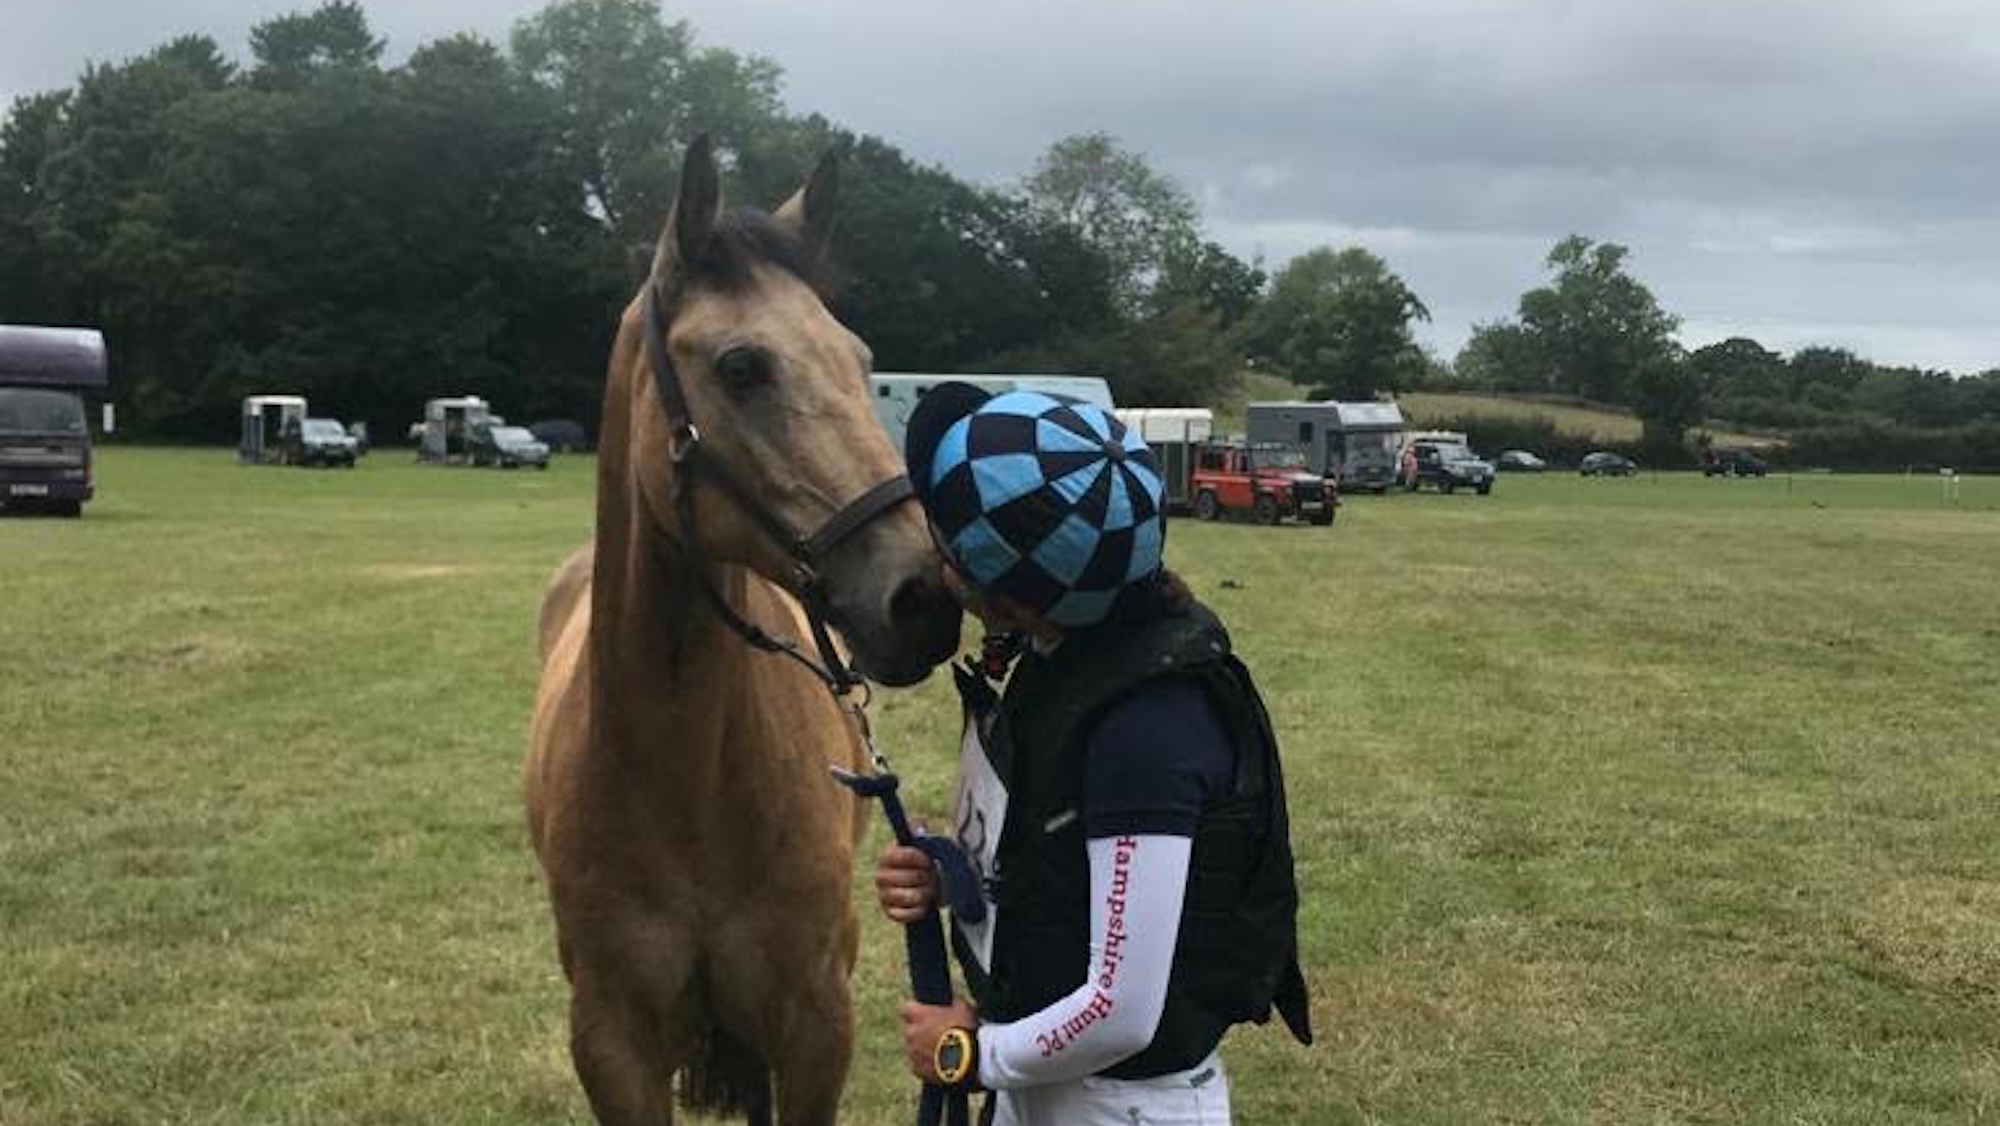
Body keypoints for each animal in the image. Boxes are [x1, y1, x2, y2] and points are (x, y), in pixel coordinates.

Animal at [526, 135, 963, 1126]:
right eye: (741, 368)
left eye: (857, 357)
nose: (925, 595)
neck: (684, 780)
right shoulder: (613, 1044)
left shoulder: (812, 1026)